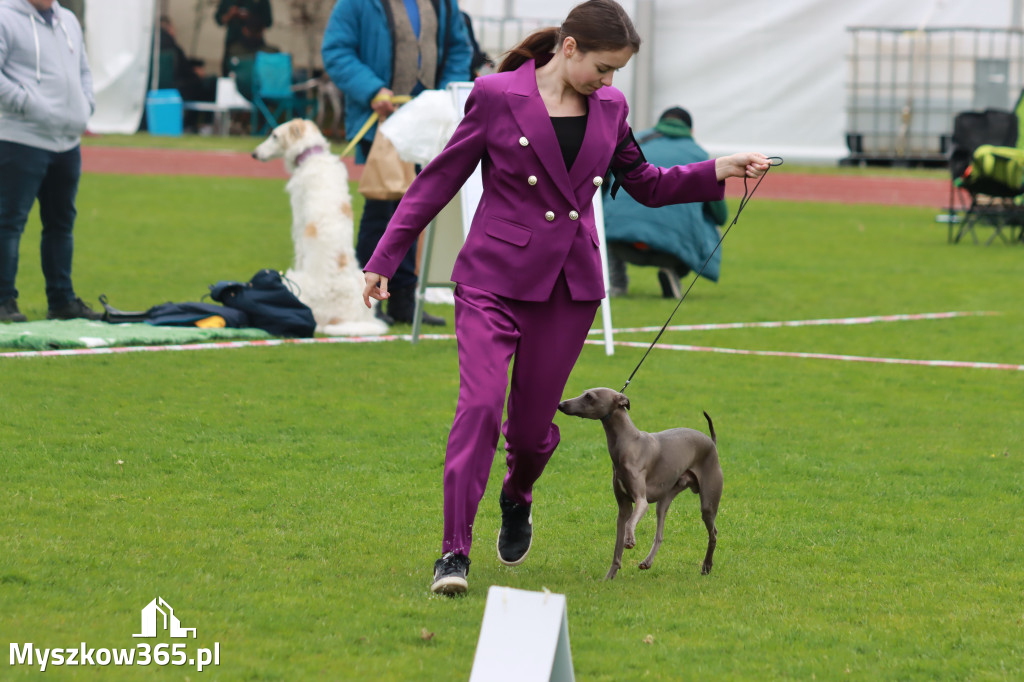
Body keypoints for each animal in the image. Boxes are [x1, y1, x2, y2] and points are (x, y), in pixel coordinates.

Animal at [252, 121, 387, 337]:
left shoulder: (298, 229)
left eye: (274, 135)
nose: (254, 154)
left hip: (291, 280)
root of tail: (340, 319)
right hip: (366, 283)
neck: (312, 156)